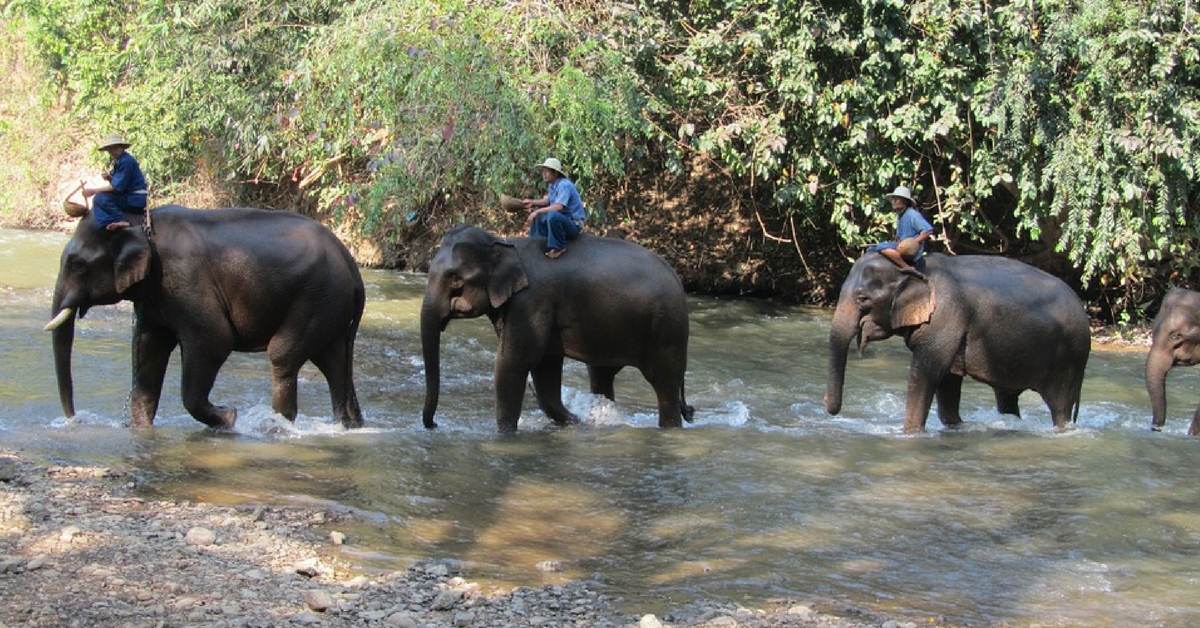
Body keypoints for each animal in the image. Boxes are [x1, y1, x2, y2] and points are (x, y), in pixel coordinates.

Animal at [48, 204, 364, 429]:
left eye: (77, 265)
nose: (75, 418)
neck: (141, 221)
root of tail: (353, 267)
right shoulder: (154, 297)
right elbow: (149, 351)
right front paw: (140, 429)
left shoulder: (185, 280)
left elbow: (213, 341)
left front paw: (230, 418)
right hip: (329, 306)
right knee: (332, 361)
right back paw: (347, 426)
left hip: (318, 296)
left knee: (283, 356)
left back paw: (277, 427)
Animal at [420, 224, 696, 432]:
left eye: (455, 279)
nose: (434, 424)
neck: (504, 244)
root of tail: (677, 277)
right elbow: (545, 368)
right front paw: (574, 422)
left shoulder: (531, 301)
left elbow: (514, 362)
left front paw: (505, 434)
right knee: (601, 376)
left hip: (667, 329)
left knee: (664, 384)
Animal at [825, 252, 1099, 432]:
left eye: (862, 299)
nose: (831, 409)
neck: (914, 268)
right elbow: (947, 381)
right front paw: (957, 427)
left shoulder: (946, 317)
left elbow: (928, 373)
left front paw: (909, 433)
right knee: (1007, 398)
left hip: (1068, 358)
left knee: (1060, 407)